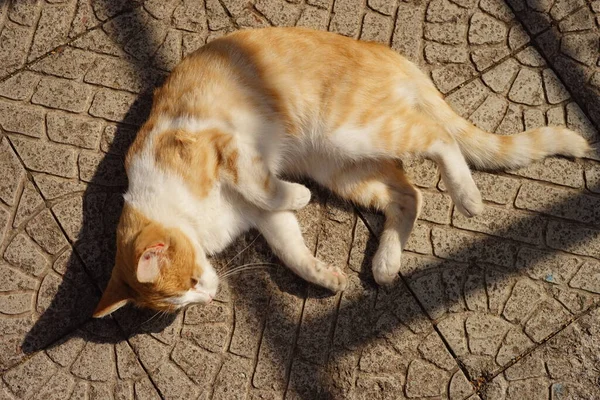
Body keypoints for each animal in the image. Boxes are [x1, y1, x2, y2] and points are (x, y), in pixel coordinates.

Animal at [91, 26, 588, 318]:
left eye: (193, 281)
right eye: (186, 296)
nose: (210, 297)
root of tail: (386, 52)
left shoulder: (227, 146)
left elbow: (263, 186)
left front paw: (299, 196)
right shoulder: (264, 219)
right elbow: (290, 249)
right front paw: (324, 276)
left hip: (352, 131)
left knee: (439, 138)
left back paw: (468, 197)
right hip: (339, 164)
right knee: (409, 194)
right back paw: (386, 263)